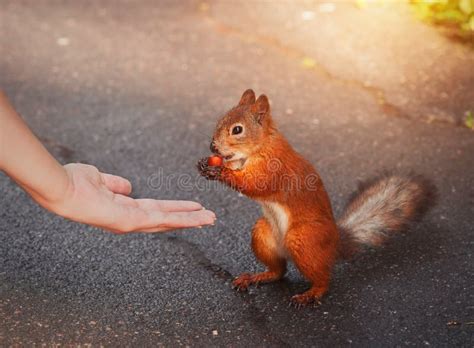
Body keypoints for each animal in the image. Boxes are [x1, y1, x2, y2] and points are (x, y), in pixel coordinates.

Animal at [197, 89, 436, 304]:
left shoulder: (273, 168)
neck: (261, 145)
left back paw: (310, 294)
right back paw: (255, 277)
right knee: (279, 271)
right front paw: (206, 165)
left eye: (237, 130)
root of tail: (335, 243)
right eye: (221, 119)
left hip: (303, 240)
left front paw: (220, 171)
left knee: (323, 279)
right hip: (263, 234)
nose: (212, 146)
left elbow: (254, 184)